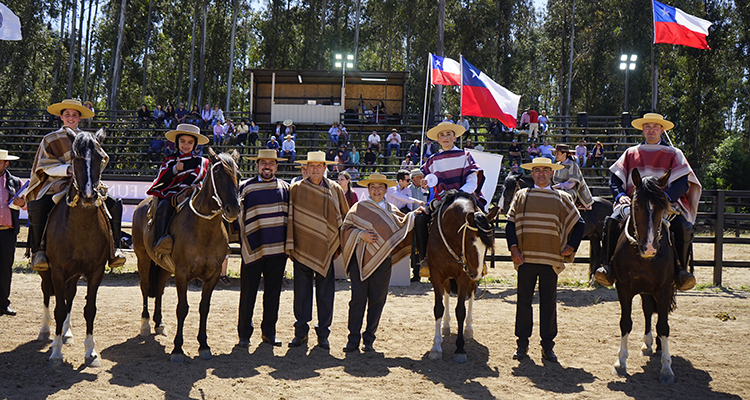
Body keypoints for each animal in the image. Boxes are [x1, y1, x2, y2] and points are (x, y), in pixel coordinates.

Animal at [40, 127, 111, 366]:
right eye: (75, 158)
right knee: (47, 294)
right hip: (47, 271)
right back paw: (46, 331)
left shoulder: (95, 271)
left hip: (74, 274)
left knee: (69, 296)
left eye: (101, 157)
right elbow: (59, 309)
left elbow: (89, 309)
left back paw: (67, 333)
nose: (89, 196)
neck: (81, 228)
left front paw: (91, 351)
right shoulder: (57, 270)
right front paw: (56, 352)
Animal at [132, 148, 241, 362]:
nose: (233, 209)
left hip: (164, 266)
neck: (204, 230)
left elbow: (204, 307)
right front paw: (177, 349)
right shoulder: (182, 273)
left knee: (159, 289)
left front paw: (204, 345)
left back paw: (159, 323)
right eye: (217, 174)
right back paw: (146, 324)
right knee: (145, 287)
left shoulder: (213, 275)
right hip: (143, 258)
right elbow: (182, 308)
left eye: (238, 176)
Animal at [428, 192, 500, 364]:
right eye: (470, 241)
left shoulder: (464, 276)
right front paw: (436, 347)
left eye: (487, 245)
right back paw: (446, 326)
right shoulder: (436, 274)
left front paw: (460, 349)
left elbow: (461, 310)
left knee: (471, 296)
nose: (477, 274)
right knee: (447, 294)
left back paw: (468, 329)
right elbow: (438, 308)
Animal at [612, 167, 680, 382]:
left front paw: (666, 368)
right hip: (644, 290)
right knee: (648, 310)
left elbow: (664, 326)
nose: (649, 248)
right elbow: (625, 323)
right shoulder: (624, 288)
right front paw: (620, 362)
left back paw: (657, 346)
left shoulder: (664, 289)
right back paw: (648, 344)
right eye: (637, 206)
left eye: (661, 207)